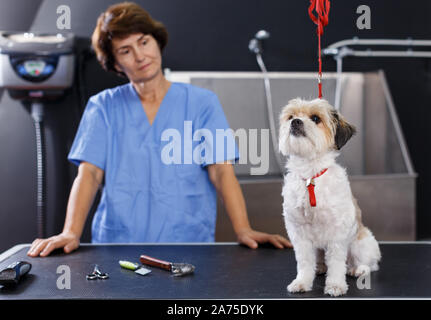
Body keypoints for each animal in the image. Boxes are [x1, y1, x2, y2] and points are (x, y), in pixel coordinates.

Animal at [280, 98, 382, 298]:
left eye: (315, 118)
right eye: (291, 116)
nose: (295, 122)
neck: (310, 176)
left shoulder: (337, 233)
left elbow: (336, 263)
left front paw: (335, 285)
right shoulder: (299, 232)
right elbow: (304, 262)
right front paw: (302, 282)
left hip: (361, 244)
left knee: (369, 264)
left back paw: (357, 269)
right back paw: (320, 267)